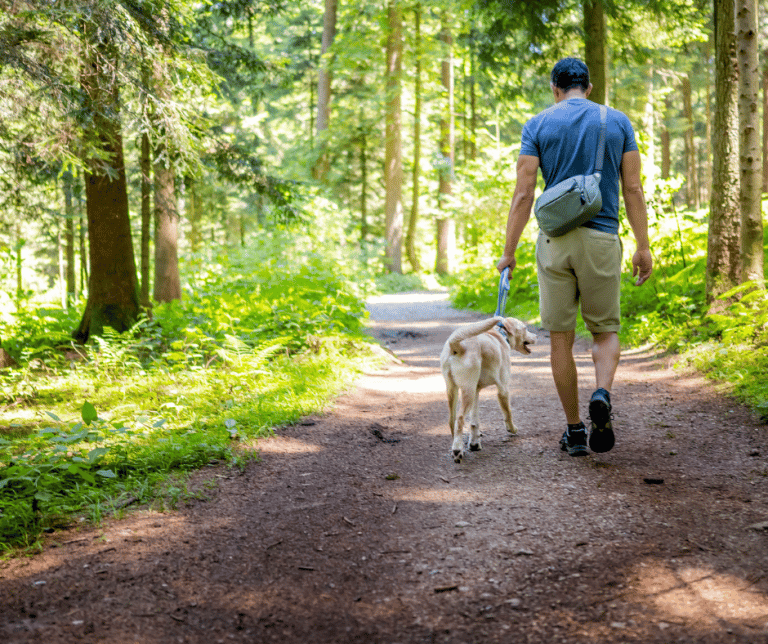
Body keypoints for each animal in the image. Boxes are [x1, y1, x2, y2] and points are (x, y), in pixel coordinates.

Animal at [440, 316, 536, 462]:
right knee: (460, 418)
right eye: (525, 328)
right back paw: (457, 449)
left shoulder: (476, 391)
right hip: (467, 390)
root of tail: (456, 345)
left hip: (453, 390)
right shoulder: (503, 389)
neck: (501, 335)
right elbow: (508, 412)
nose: (536, 336)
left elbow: (474, 422)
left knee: (452, 420)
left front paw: (474, 443)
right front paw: (512, 429)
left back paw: (457, 446)